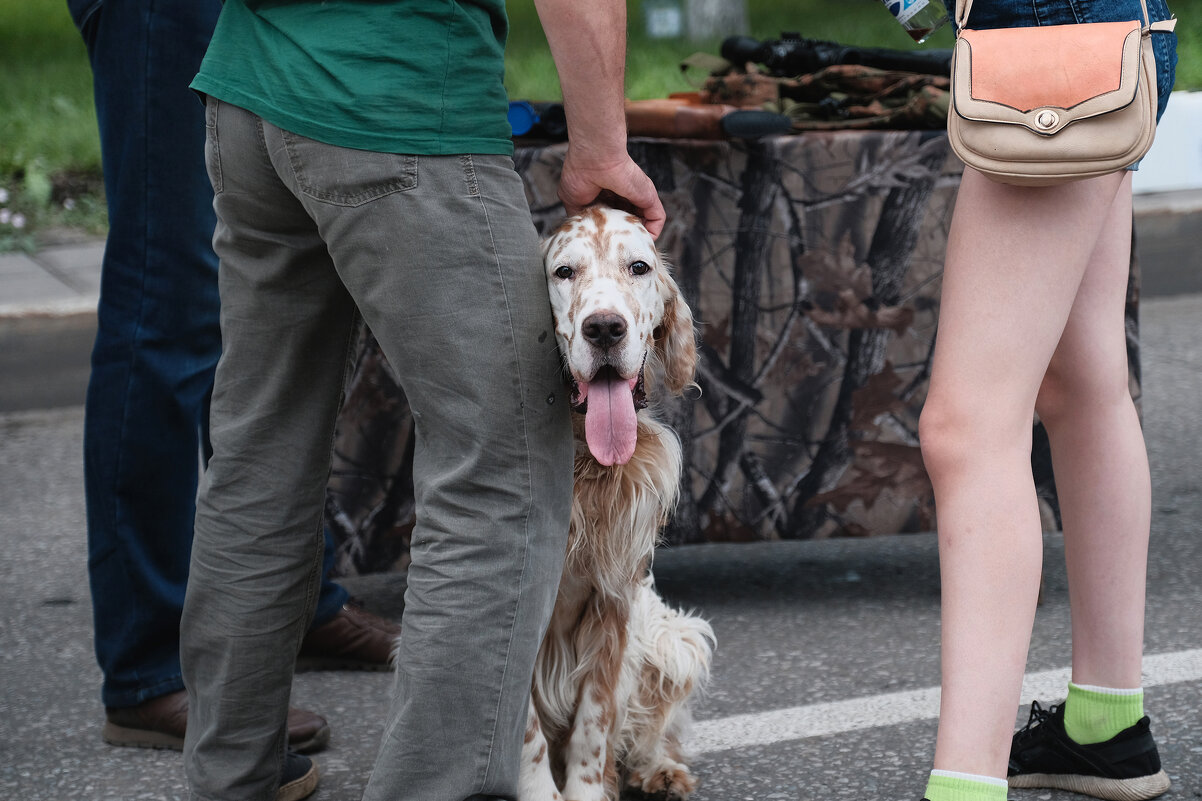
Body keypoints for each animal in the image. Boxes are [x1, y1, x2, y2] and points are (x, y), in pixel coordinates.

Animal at [519, 206, 711, 798]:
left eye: (639, 267)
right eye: (564, 272)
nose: (604, 327)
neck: (585, 460)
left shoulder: (616, 602)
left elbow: (595, 720)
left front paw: (587, 789)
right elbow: (527, 730)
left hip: (675, 637)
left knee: (649, 733)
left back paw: (660, 770)